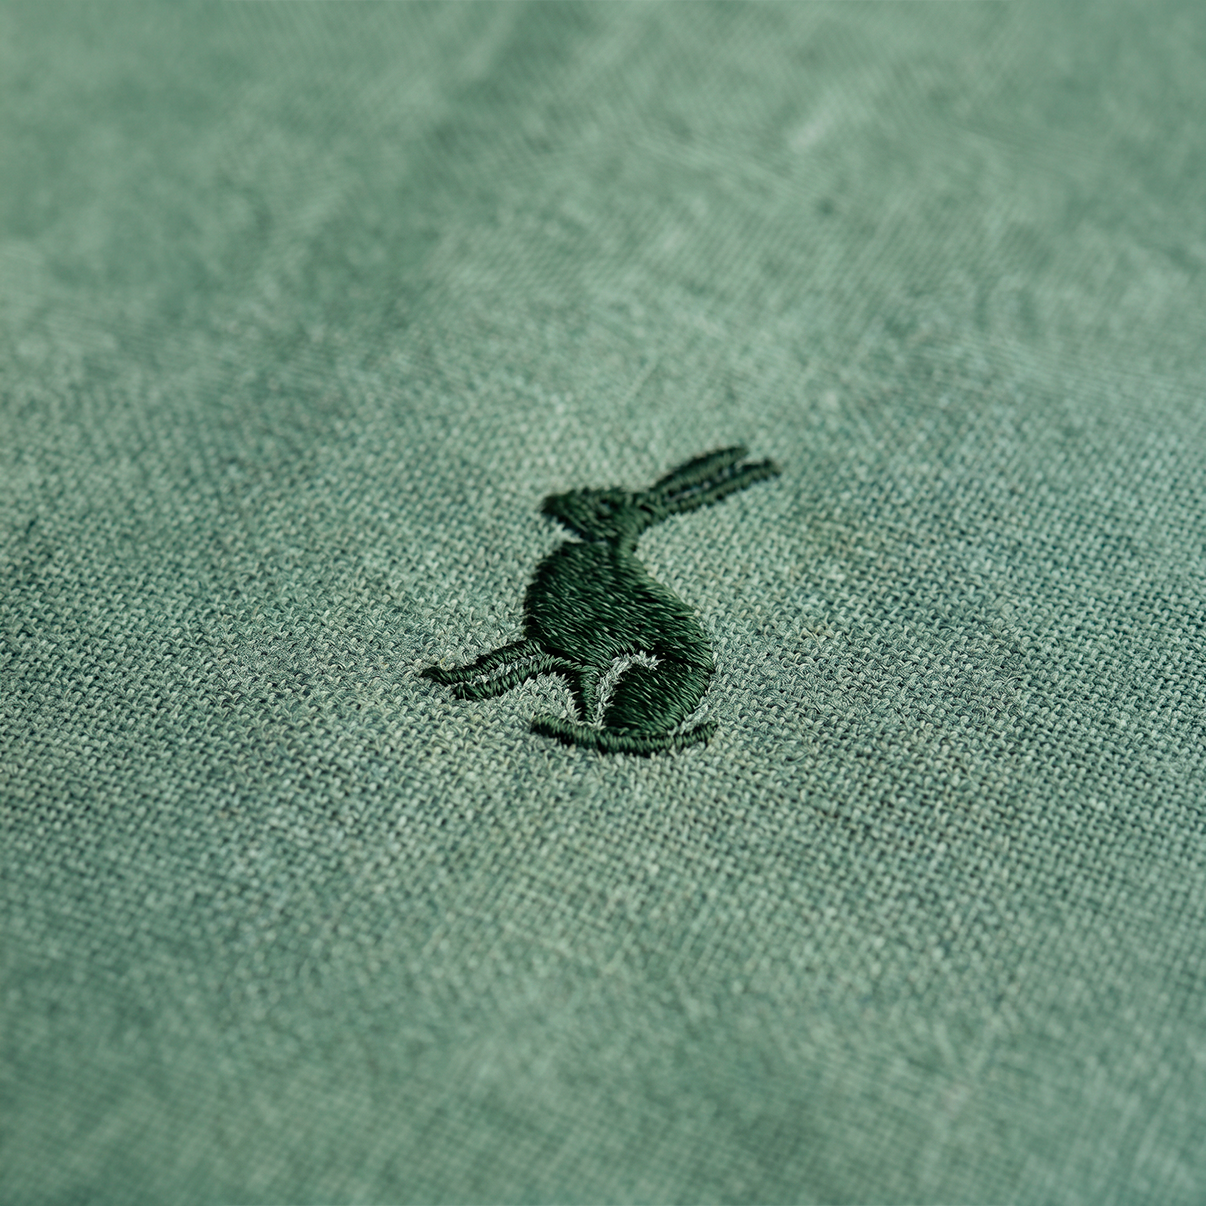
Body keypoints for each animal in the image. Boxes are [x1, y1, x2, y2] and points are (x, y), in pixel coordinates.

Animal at [421, 446, 780, 753]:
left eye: (606, 501)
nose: (557, 501)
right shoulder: (549, 643)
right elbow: (502, 660)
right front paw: (452, 677)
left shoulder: (582, 652)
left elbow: (561, 683)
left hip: (638, 674)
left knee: (608, 721)